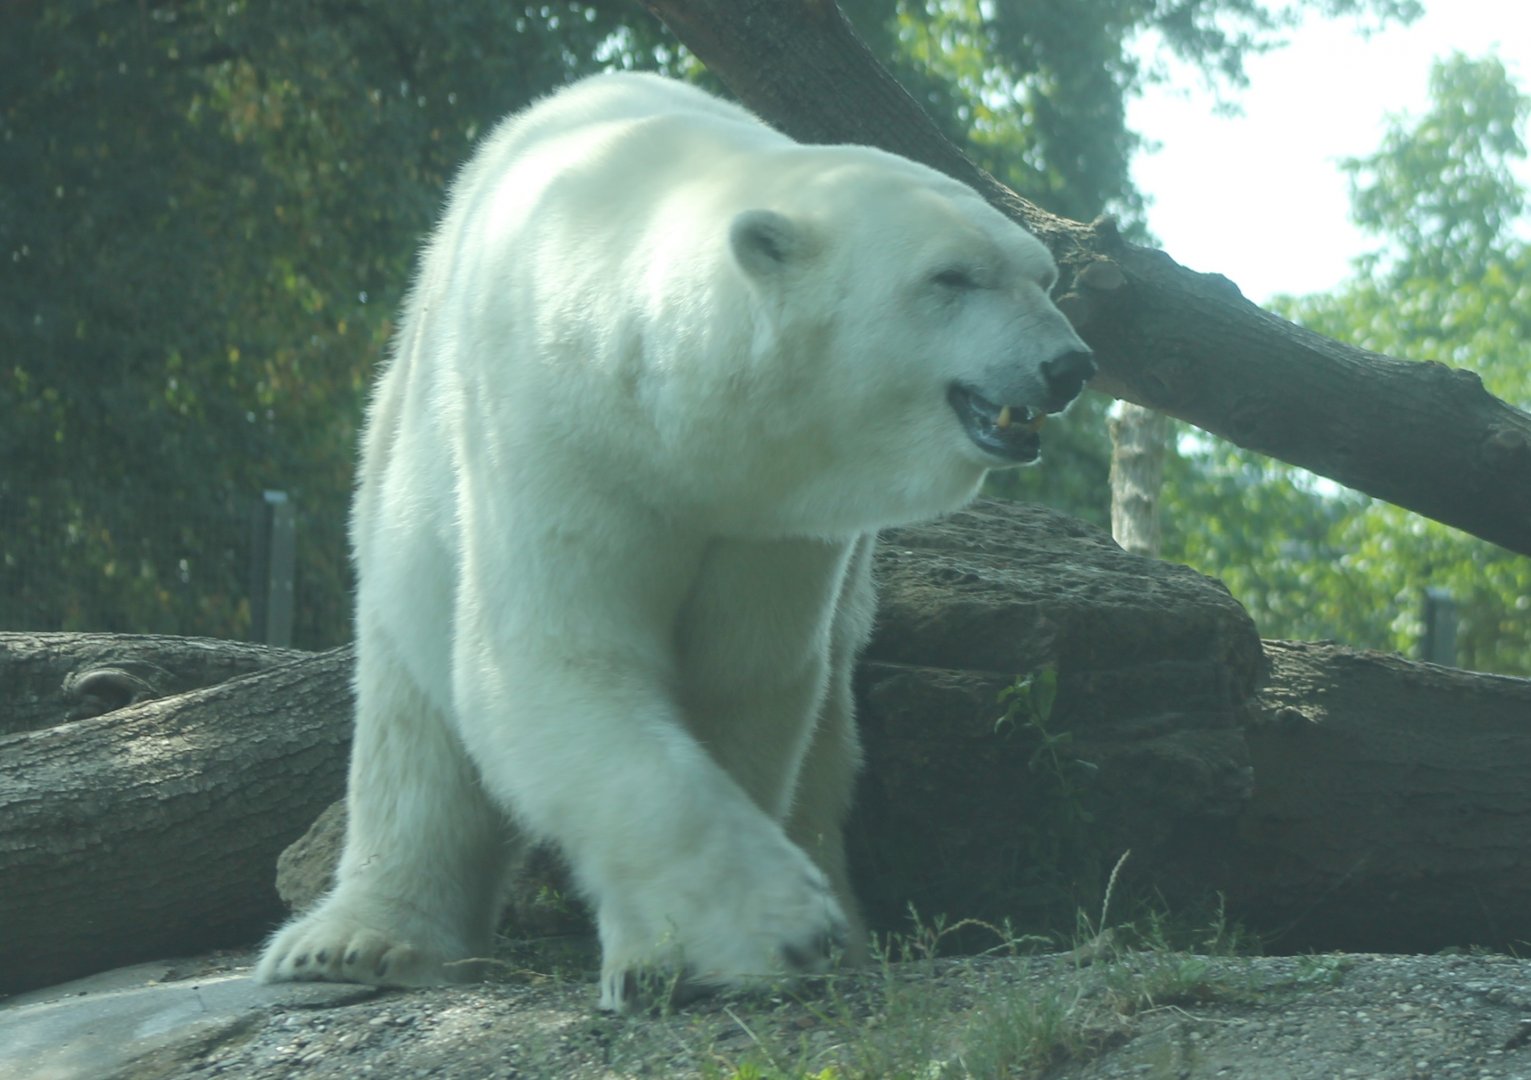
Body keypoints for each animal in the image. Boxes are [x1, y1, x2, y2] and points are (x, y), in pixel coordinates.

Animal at [254, 72, 1094, 1011]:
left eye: (1044, 275)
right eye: (951, 276)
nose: (1069, 366)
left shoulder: (774, 515)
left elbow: (742, 681)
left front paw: (687, 954)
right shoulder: (557, 438)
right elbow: (554, 661)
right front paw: (772, 926)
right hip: (405, 467)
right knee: (412, 726)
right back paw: (350, 943)